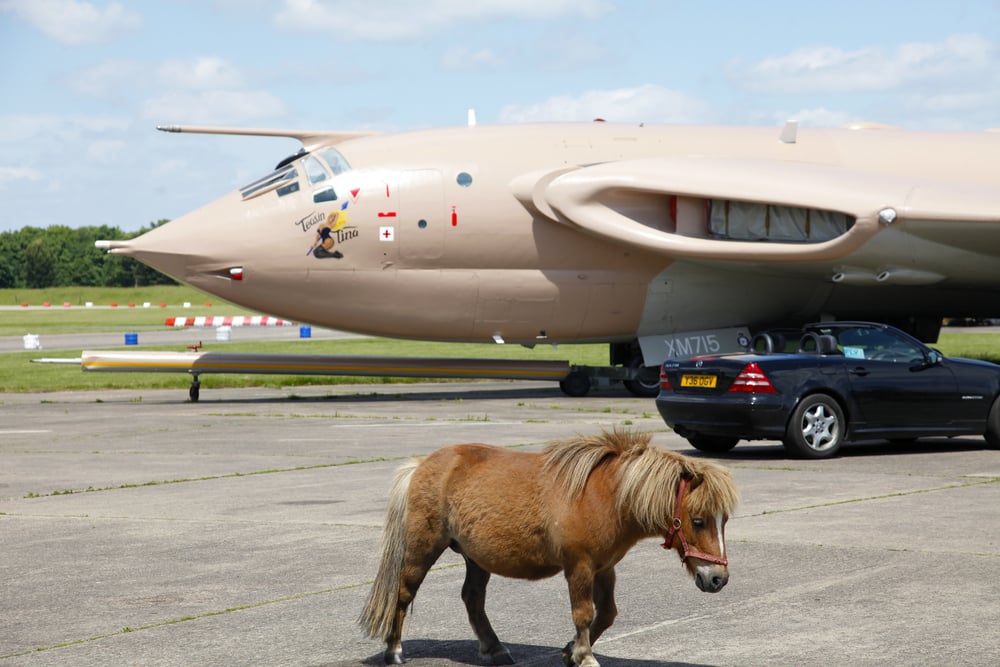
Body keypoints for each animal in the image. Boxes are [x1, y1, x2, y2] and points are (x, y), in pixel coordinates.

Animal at [358, 429, 739, 667]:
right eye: (699, 520)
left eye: (724, 521)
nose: (718, 579)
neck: (605, 496)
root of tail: (422, 464)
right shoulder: (579, 567)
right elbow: (583, 613)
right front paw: (584, 655)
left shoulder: (604, 568)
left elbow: (607, 613)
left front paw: (570, 651)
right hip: (422, 548)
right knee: (403, 593)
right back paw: (394, 651)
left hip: (476, 558)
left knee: (473, 600)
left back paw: (495, 649)